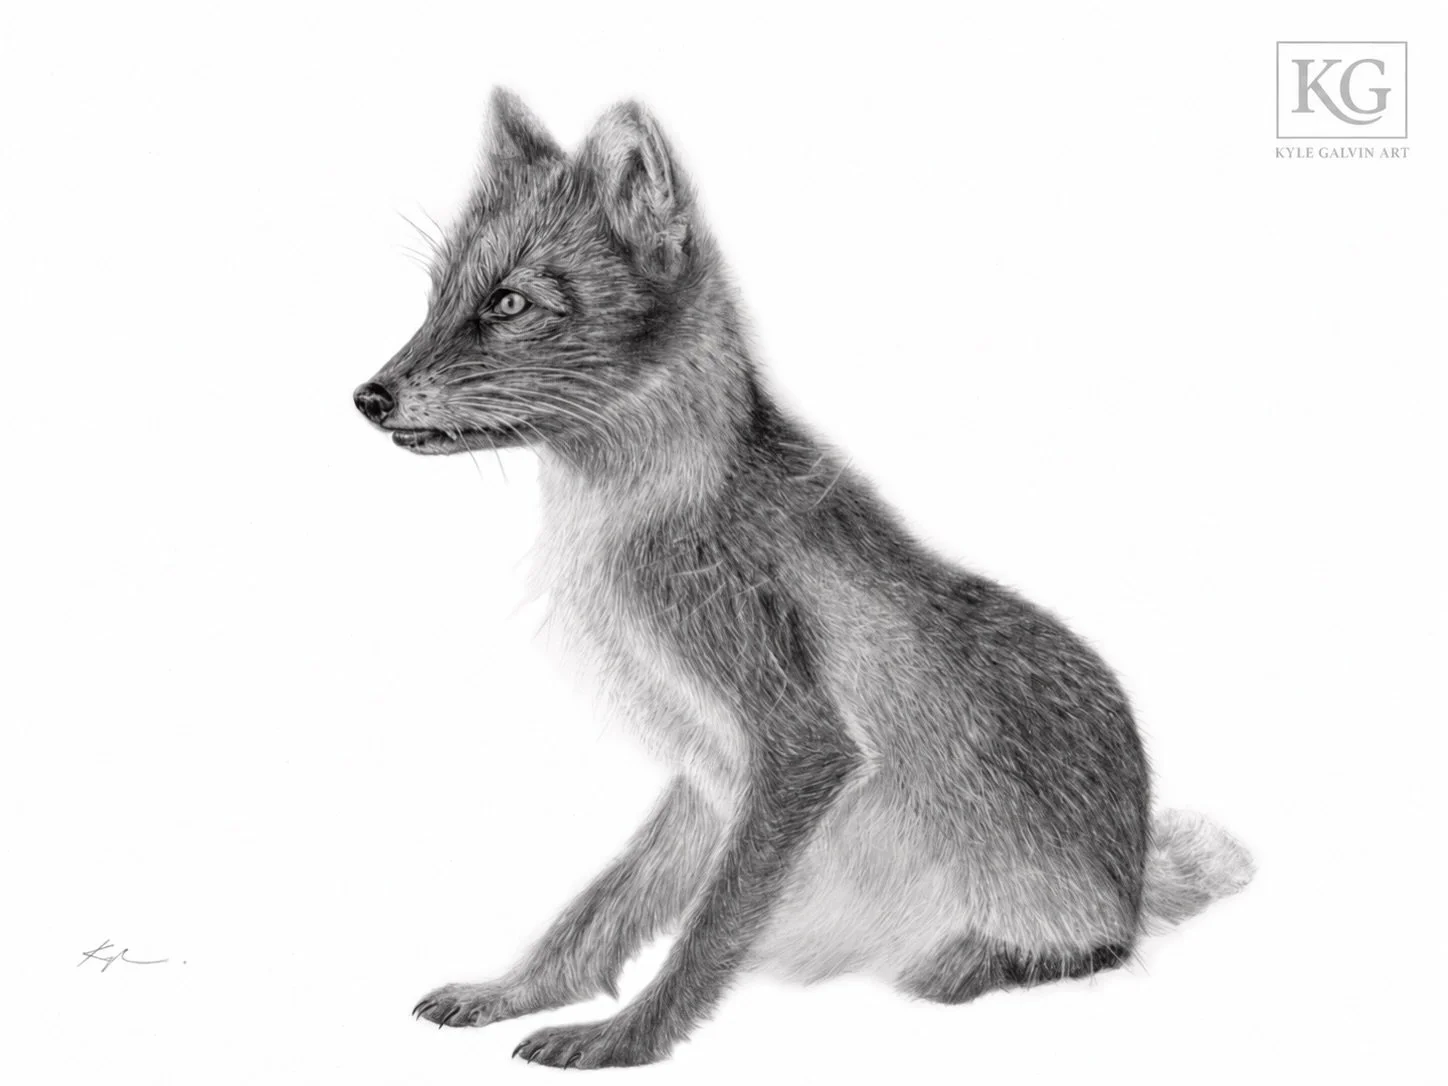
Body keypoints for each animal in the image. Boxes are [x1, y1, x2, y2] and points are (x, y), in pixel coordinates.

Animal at [354, 89, 1254, 1070]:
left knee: (1097, 949)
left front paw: (629, 1041)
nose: (367, 396)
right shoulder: (708, 772)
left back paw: (973, 958)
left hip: (1034, 905)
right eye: (437, 299)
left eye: (508, 302)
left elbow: (705, 934)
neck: (626, 528)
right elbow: (604, 909)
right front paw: (514, 994)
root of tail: (1134, 862)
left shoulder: (799, 748)